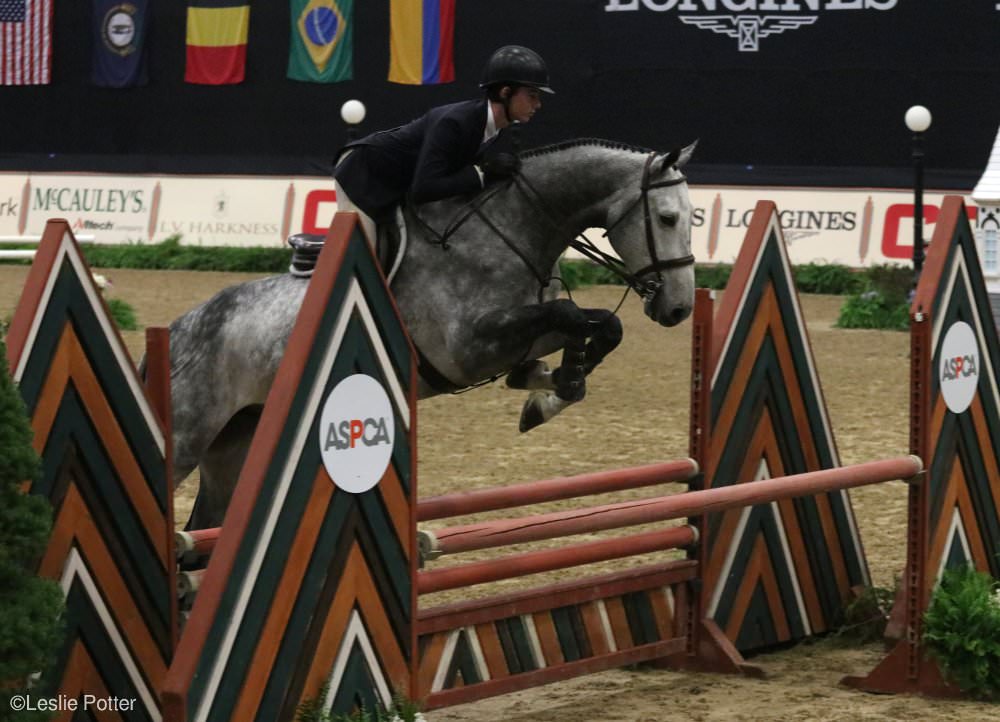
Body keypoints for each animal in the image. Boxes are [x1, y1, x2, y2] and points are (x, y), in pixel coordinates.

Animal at [168, 138, 696, 524]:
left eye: (695, 219)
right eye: (667, 218)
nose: (679, 307)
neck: (513, 229)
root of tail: (180, 329)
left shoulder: (525, 329)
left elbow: (600, 324)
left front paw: (548, 392)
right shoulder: (468, 348)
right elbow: (570, 315)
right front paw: (552, 388)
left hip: (235, 447)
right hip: (187, 439)